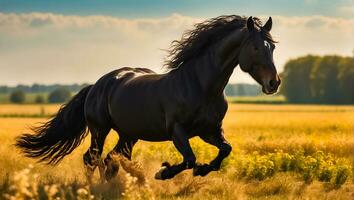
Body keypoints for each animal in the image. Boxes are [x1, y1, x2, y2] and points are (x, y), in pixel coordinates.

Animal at [16, 15, 280, 181]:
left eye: (273, 47)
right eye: (256, 48)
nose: (274, 83)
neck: (201, 86)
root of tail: (97, 85)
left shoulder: (210, 130)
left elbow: (225, 150)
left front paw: (203, 170)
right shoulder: (177, 130)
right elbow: (189, 158)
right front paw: (162, 173)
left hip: (128, 134)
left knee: (111, 159)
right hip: (99, 129)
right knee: (92, 158)